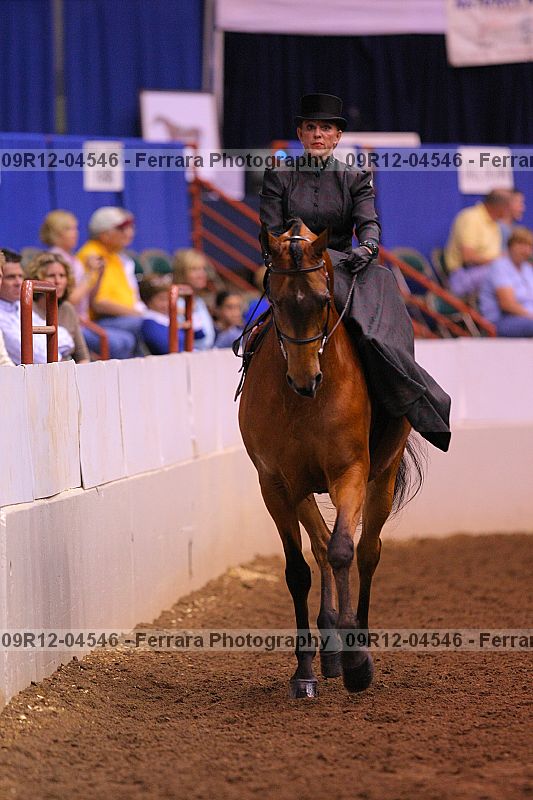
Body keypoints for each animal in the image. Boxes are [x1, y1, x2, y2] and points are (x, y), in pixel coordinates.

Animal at [238, 220, 420, 698]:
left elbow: (343, 551)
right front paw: (305, 670)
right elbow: (300, 569)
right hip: (301, 491)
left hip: (382, 478)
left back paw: (354, 641)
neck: (303, 404)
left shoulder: (349, 472)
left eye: (323, 300)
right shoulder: (276, 484)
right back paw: (331, 650)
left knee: (368, 550)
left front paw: (359, 665)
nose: (307, 380)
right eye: (276, 301)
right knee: (319, 546)